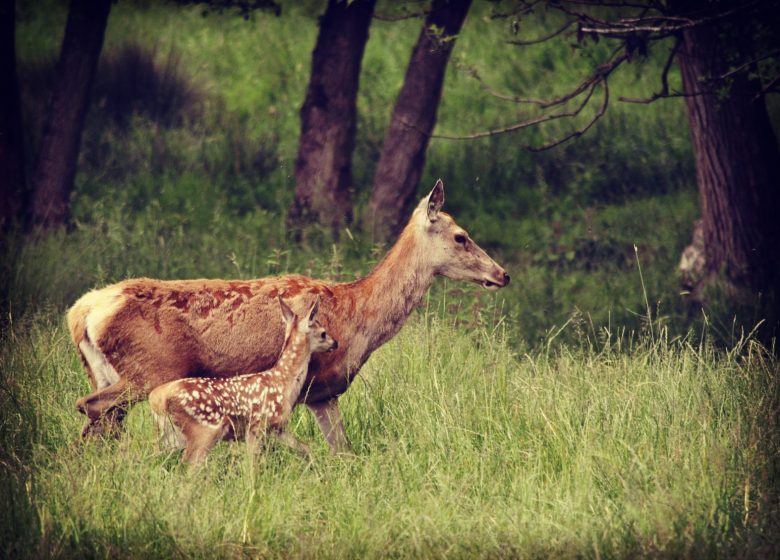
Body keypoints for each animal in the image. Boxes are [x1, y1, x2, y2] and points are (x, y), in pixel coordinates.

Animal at [65, 179, 506, 450]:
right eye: (461, 236)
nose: (502, 273)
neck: (357, 314)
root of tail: (82, 312)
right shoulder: (299, 386)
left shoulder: (323, 393)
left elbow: (344, 452)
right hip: (149, 370)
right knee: (93, 408)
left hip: (105, 370)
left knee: (96, 423)